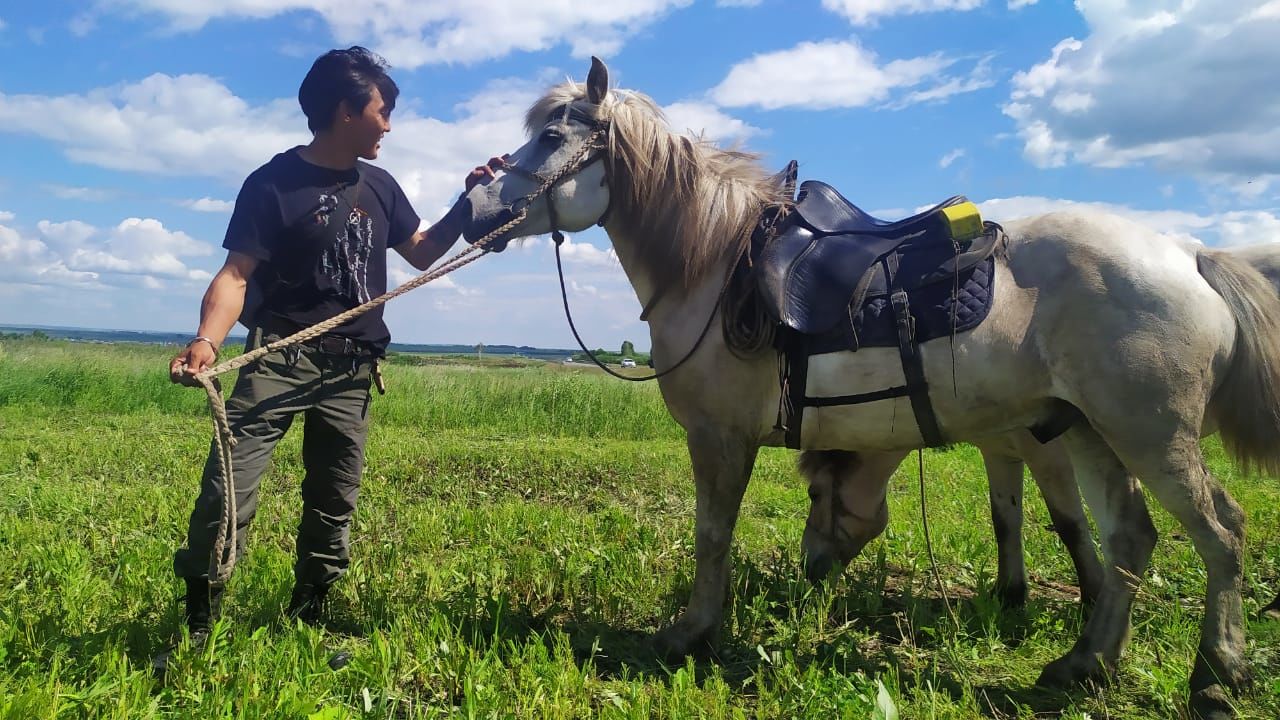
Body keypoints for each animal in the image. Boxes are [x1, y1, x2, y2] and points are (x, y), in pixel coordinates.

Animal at [465, 58, 1280, 712]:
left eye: (552, 137)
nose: (475, 209)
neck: (712, 262)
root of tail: (1188, 253)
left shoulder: (719, 438)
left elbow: (711, 534)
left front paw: (692, 633)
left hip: (1150, 435)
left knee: (1220, 532)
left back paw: (1218, 673)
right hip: (1090, 431)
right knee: (1129, 538)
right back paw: (1084, 663)